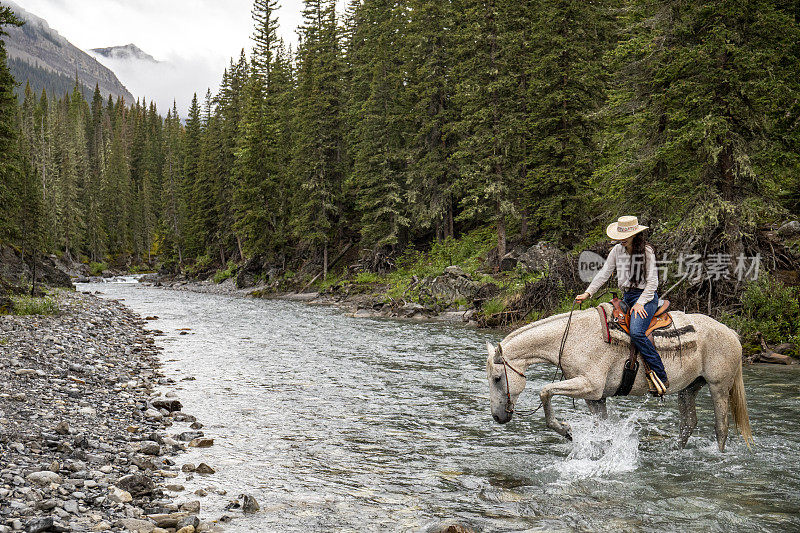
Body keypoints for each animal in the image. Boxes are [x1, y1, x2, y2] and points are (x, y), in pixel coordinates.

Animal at [484, 308, 752, 448]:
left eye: (497, 378)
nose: (497, 417)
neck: (574, 338)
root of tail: (732, 333)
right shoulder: (595, 398)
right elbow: (602, 427)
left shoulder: (590, 386)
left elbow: (545, 391)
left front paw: (567, 430)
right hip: (689, 388)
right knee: (688, 424)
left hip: (719, 387)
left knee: (721, 427)